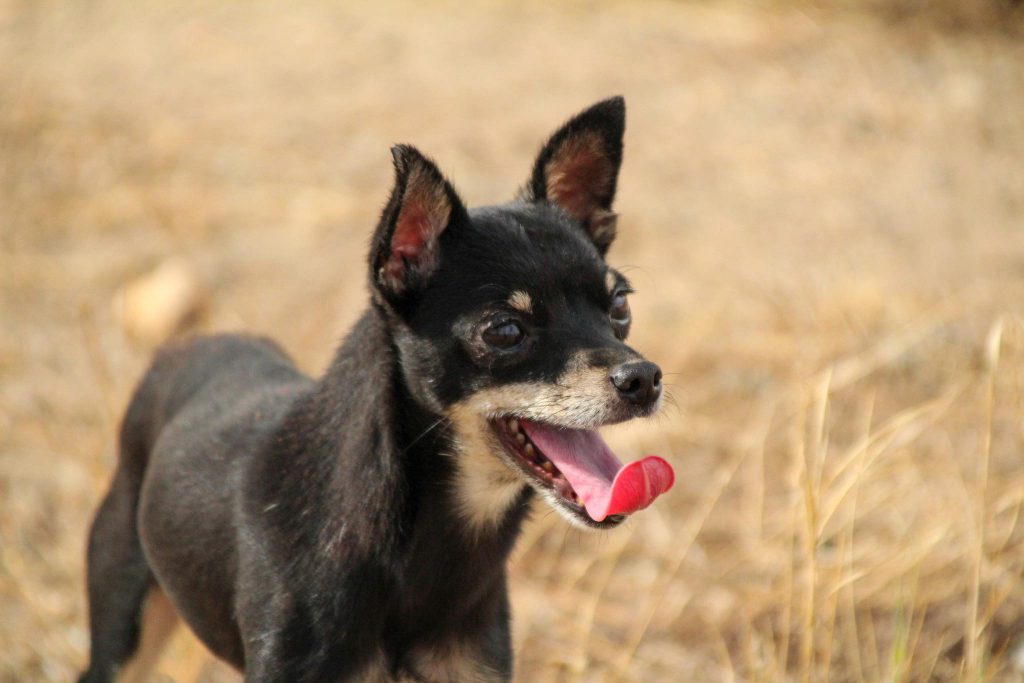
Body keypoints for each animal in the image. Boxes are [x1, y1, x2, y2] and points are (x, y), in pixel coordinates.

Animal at [78, 96, 674, 682]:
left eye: (620, 306)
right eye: (505, 331)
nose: (643, 377)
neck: (427, 545)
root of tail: (192, 344)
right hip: (124, 631)